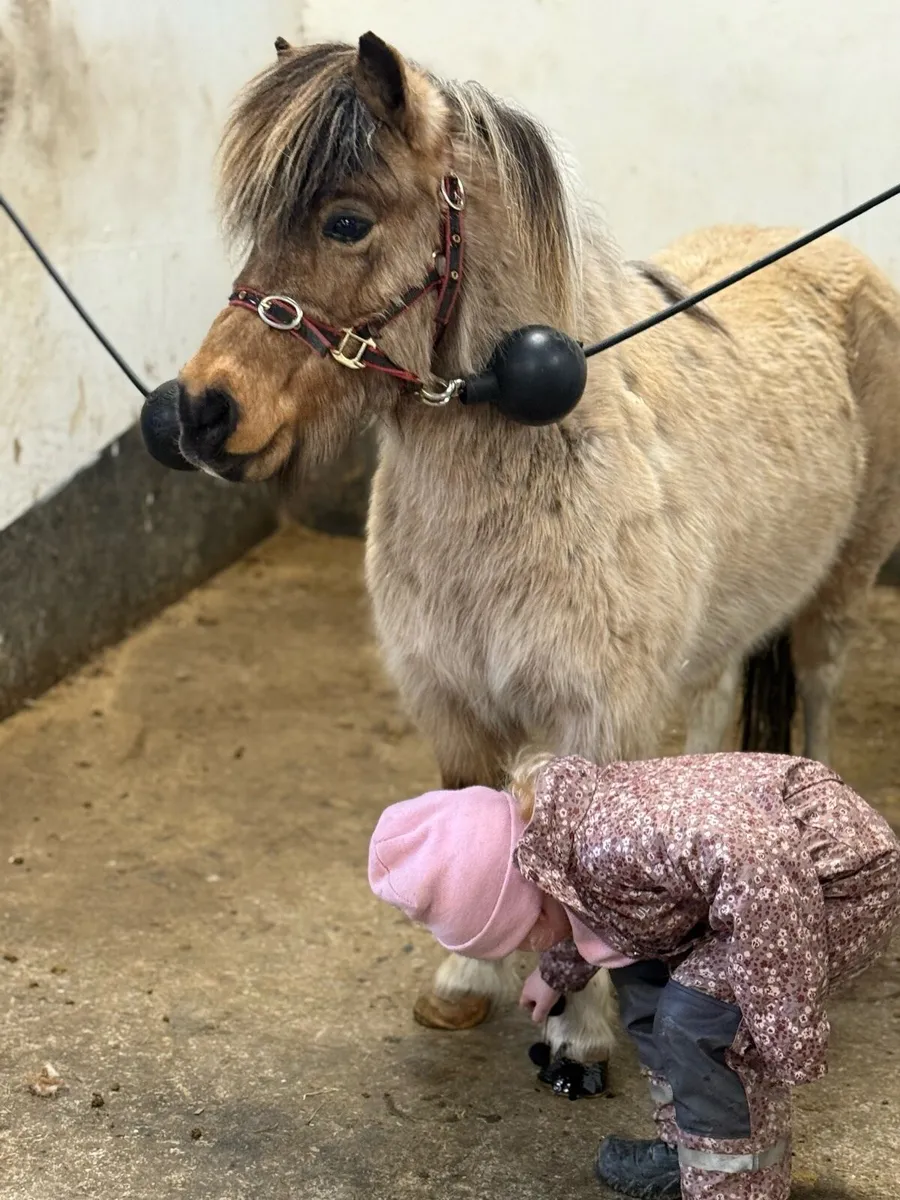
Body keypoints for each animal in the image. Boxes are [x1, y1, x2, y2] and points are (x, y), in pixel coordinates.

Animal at [146, 31, 900, 1084]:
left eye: (346, 222)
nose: (200, 412)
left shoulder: (592, 719)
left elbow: (574, 874)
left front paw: (577, 1033)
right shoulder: (454, 705)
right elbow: (468, 818)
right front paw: (468, 979)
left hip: (843, 585)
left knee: (822, 703)